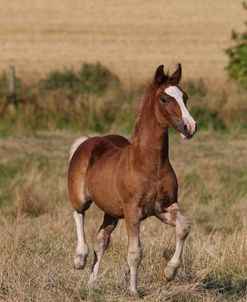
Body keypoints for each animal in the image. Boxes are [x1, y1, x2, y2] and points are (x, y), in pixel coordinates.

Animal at [67, 64, 197, 298]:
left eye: (185, 97)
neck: (149, 164)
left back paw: (92, 282)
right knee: (78, 213)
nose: (190, 127)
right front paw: (134, 291)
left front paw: (169, 272)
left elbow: (183, 227)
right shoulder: (132, 212)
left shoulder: (164, 208)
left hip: (111, 211)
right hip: (81, 197)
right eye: (165, 99)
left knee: (101, 240)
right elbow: (135, 252)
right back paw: (79, 259)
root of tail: (88, 141)